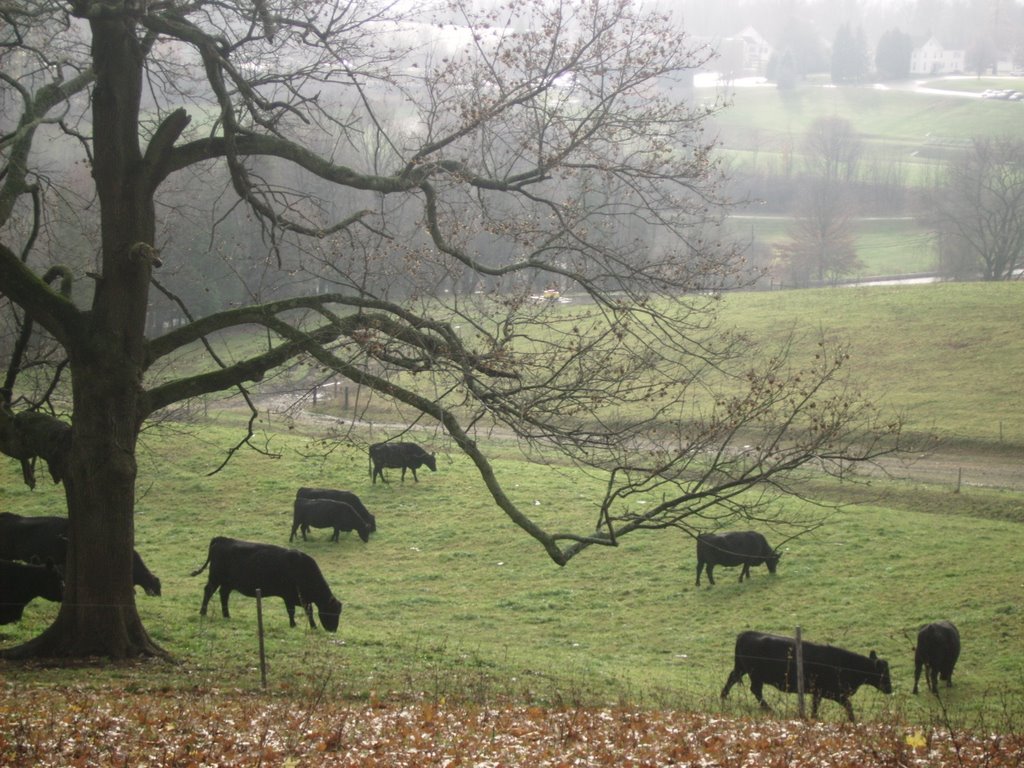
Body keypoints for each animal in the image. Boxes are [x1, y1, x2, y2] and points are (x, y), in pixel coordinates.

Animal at [193, 536, 346, 630]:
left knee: (223, 595)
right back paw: (203, 612)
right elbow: (291, 611)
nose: (333, 629)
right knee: (208, 591)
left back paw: (227, 615)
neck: (302, 568)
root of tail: (222, 539)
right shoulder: (288, 596)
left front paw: (313, 626)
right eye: (332, 612)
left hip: (227, 583)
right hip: (215, 578)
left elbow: (309, 611)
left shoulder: (303, 599)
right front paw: (293, 624)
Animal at [720, 630, 888, 720]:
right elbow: (847, 705)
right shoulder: (833, 692)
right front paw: (853, 720)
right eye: (883, 672)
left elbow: (816, 705)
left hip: (742, 669)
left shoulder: (819, 692)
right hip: (755, 674)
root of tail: (745, 633)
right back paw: (769, 709)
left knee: (733, 679)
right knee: (755, 690)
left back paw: (723, 697)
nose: (890, 689)